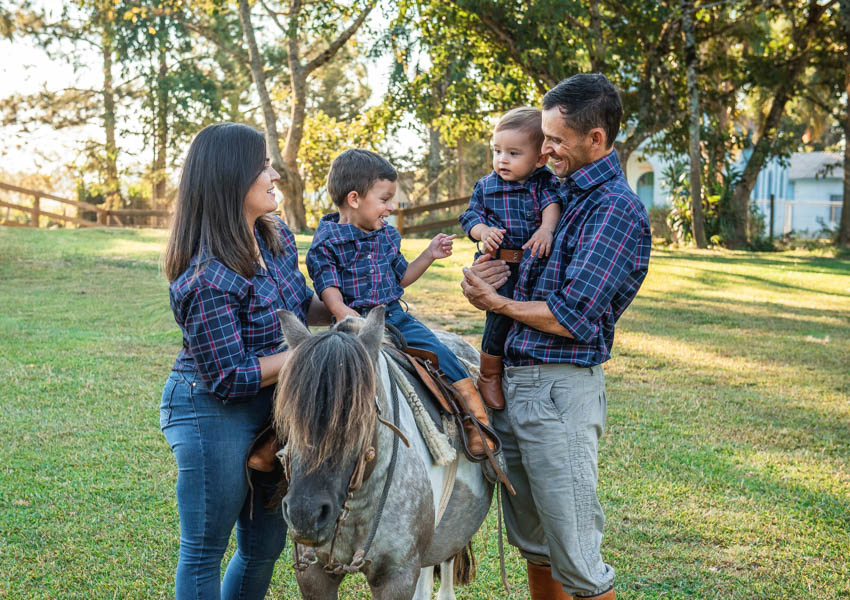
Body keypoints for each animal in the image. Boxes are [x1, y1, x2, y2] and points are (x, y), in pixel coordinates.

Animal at [274, 308, 494, 600]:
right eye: (289, 415)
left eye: (361, 416)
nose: (305, 515)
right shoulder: (313, 575)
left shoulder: (397, 577)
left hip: (450, 535)